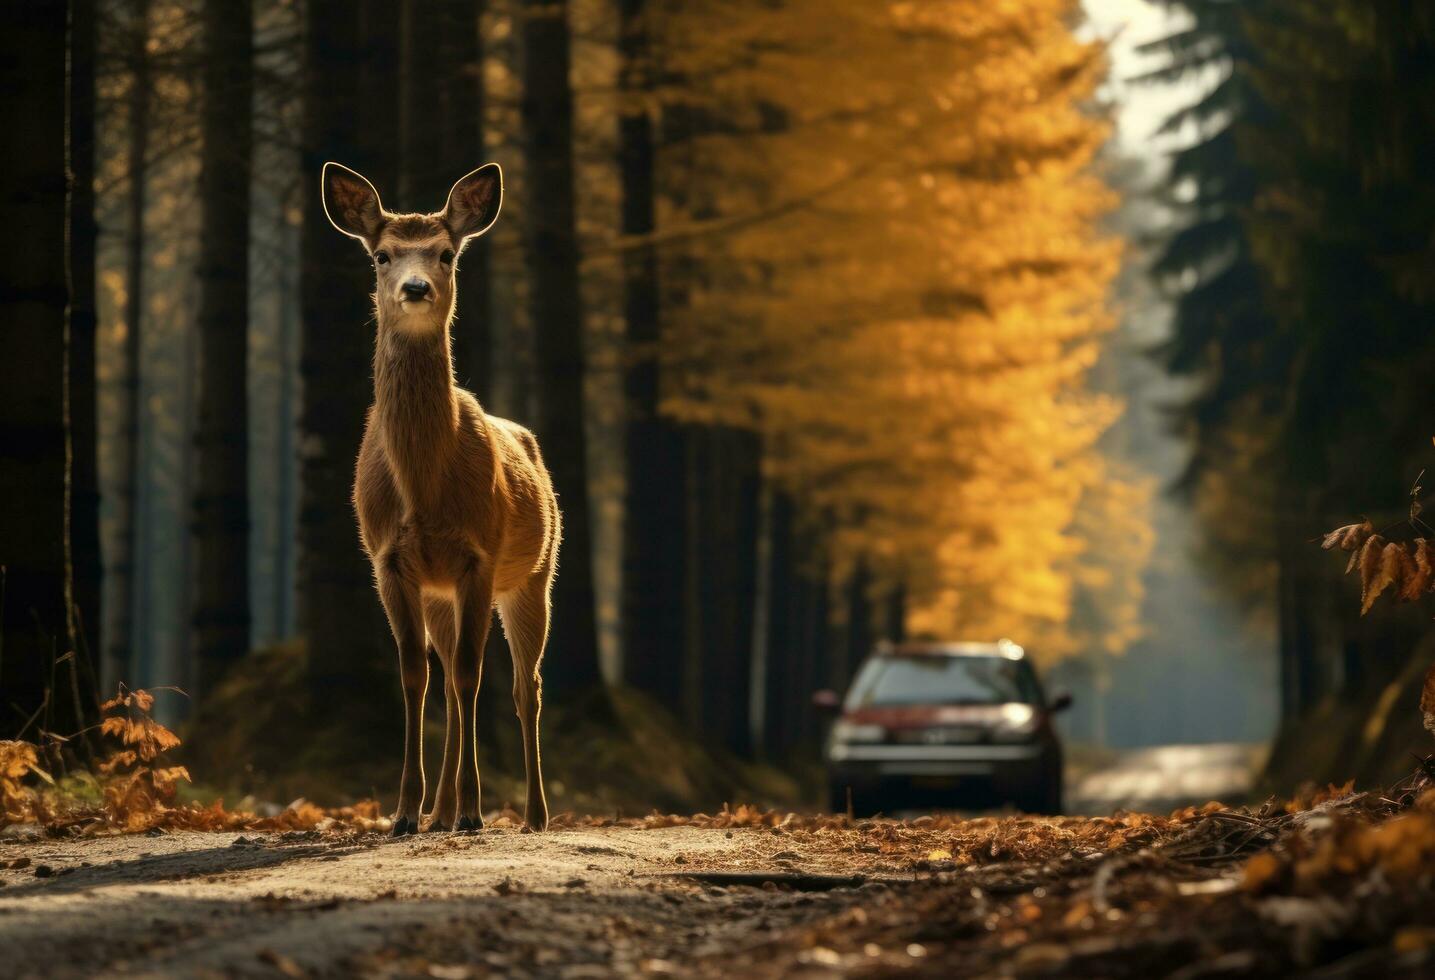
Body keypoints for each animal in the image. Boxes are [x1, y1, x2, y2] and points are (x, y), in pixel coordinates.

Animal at [324, 160, 553, 837]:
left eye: (447, 253)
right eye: (381, 255)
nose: (417, 288)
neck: (424, 489)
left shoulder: (481, 554)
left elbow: (475, 673)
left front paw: (475, 810)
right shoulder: (388, 560)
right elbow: (413, 674)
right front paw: (404, 812)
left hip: (535, 573)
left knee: (523, 687)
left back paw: (531, 814)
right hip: (440, 592)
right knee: (447, 674)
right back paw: (439, 812)